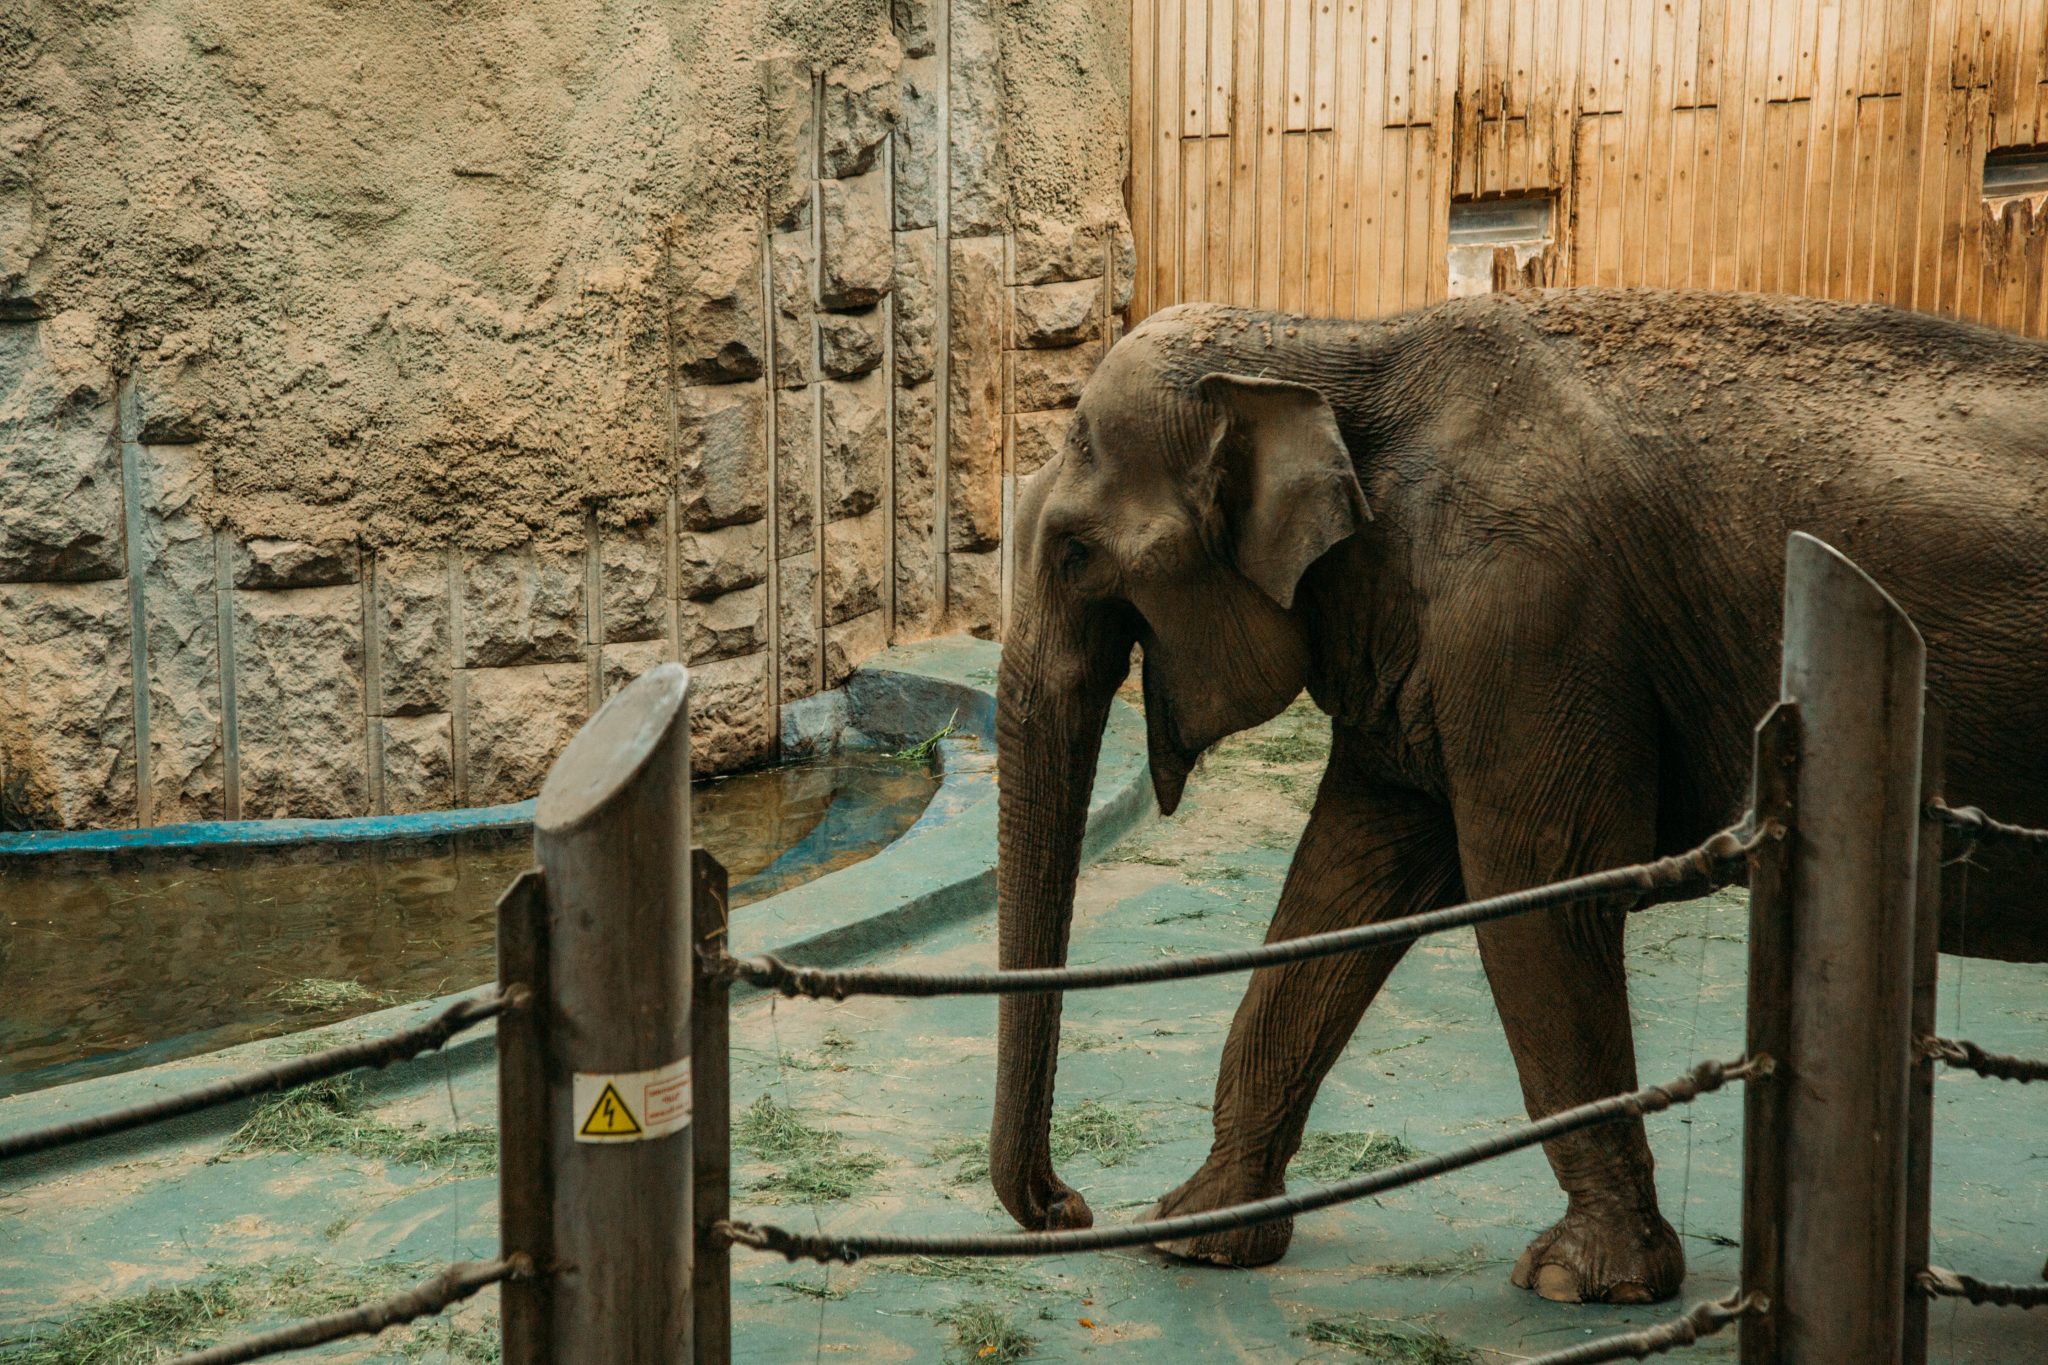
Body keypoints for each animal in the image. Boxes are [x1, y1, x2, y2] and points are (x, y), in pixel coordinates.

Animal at [991, 286, 2048, 1301]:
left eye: (1076, 552)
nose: (1068, 1205)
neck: (1336, 344)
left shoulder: (1530, 608)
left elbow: (1542, 889)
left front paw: (1583, 1281)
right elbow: (1346, 881)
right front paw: (1197, 1235)